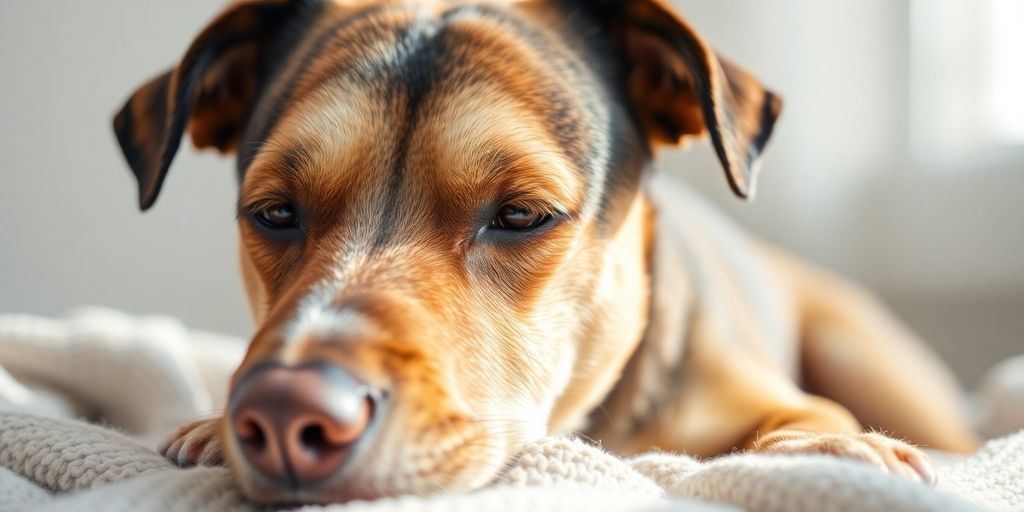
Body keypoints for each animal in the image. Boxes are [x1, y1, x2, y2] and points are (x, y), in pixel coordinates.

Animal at [110, 0, 974, 503]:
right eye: (274, 212)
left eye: (522, 215)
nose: (287, 415)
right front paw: (207, 429)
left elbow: (802, 421)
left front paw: (830, 449)